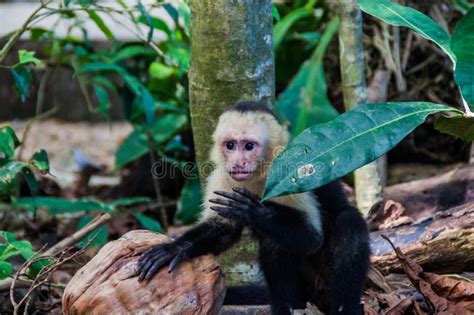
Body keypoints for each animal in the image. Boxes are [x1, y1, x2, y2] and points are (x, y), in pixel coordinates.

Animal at [137, 101, 370, 315]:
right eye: (230, 145)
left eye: (249, 146)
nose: (238, 163)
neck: (259, 172)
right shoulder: (222, 176)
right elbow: (223, 228)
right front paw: (174, 249)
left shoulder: (290, 168)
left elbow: (312, 237)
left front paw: (253, 211)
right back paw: (289, 305)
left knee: (347, 220)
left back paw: (342, 308)